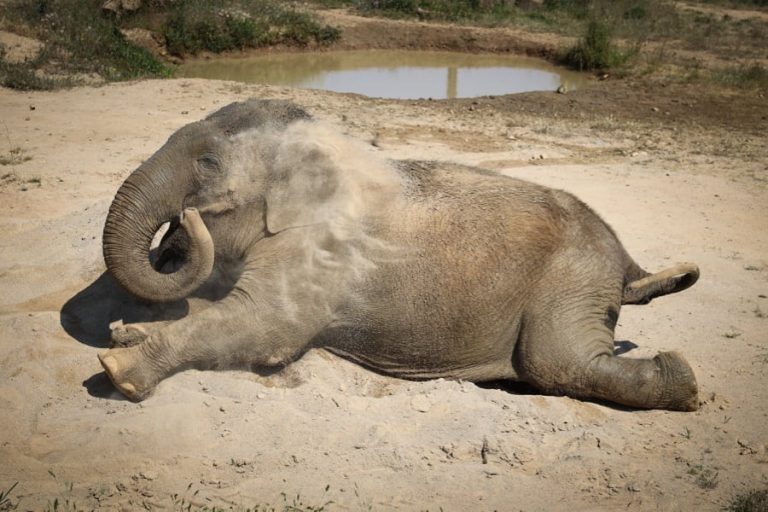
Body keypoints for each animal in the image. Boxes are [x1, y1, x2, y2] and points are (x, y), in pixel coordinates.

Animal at [98, 99, 701, 411]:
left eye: (206, 164)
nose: (180, 228)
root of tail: (625, 260)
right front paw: (125, 334)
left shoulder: (322, 251)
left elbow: (262, 328)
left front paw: (117, 368)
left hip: (573, 281)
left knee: (558, 363)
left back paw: (684, 379)